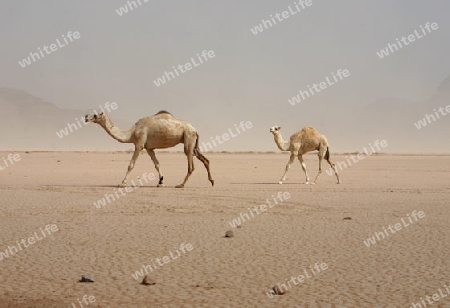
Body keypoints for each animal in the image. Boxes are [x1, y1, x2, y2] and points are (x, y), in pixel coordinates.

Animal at [85, 110, 214, 188]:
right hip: (193, 143)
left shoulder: (139, 144)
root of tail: (195, 129)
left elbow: (131, 164)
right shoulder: (149, 148)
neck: (132, 133)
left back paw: (181, 185)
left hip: (188, 138)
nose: (86, 117)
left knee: (191, 165)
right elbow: (157, 164)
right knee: (205, 160)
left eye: (95, 115)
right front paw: (161, 182)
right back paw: (212, 182)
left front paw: (122, 183)